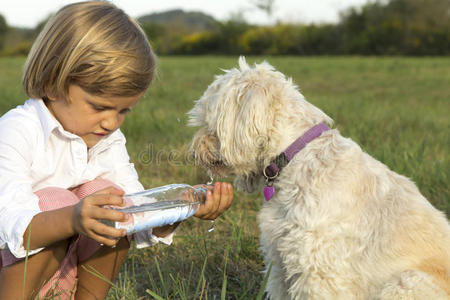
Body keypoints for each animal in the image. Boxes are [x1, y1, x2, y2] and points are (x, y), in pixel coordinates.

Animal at [188, 57, 450, 298]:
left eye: (208, 122)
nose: (192, 152)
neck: (297, 156)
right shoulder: (280, 260)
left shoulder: (317, 269)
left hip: (405, 283)